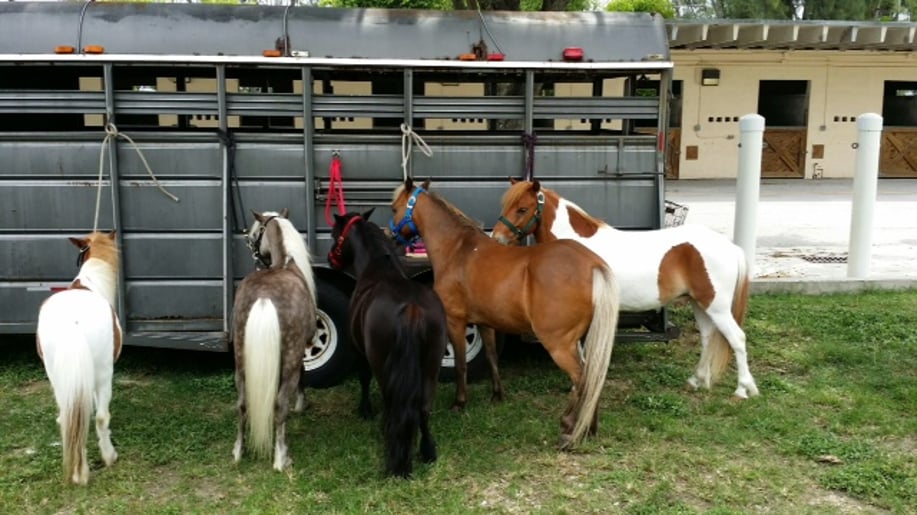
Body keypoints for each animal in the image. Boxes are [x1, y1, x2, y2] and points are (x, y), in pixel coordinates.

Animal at [35, 230, 122, 485]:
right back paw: (108, 457)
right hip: (104, 374)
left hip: (56, 377)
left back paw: (78, 471)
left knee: (70, 418)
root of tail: (72, 324)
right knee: (100, 417)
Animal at [231, 209, 317, 471]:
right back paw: (281, 457)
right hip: (289, 358)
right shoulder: (300, 351)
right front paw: (302, 404)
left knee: (242, 404)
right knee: (280, 406)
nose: (252, 248)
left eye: (255, 234)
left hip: (240, 360)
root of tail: (264, 297)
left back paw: (238, 451)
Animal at [328, 209, 447, 477]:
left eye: (334, 234)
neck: (378, 269)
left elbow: (363, 378)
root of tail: (411, 309)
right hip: (431, 364)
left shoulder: (359, 351)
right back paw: (428, 451)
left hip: (383, 365)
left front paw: (365, 411)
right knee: (423, 407)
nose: (331, 260)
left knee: (393, 404)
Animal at [389, 178, 620, 449]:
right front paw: (497, 395)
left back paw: (568, 427)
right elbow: (491, 358)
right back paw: (590, 428)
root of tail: (592, 263)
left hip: (559, 344)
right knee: (593, 377)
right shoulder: (485, 323)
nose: (390, 237)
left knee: (581, 380)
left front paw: (459, 402)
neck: (459, 250)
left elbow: (460, 365)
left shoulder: (455, 321)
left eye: (394, 208)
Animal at [491, 179, 758, 399]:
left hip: (717, 307)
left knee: (737, 338)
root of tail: (731, 247)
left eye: (522, 209)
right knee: (708, 338)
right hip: (700, 304)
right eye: (505, 205)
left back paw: (744, 389)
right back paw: (697, 381)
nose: (497, 238)